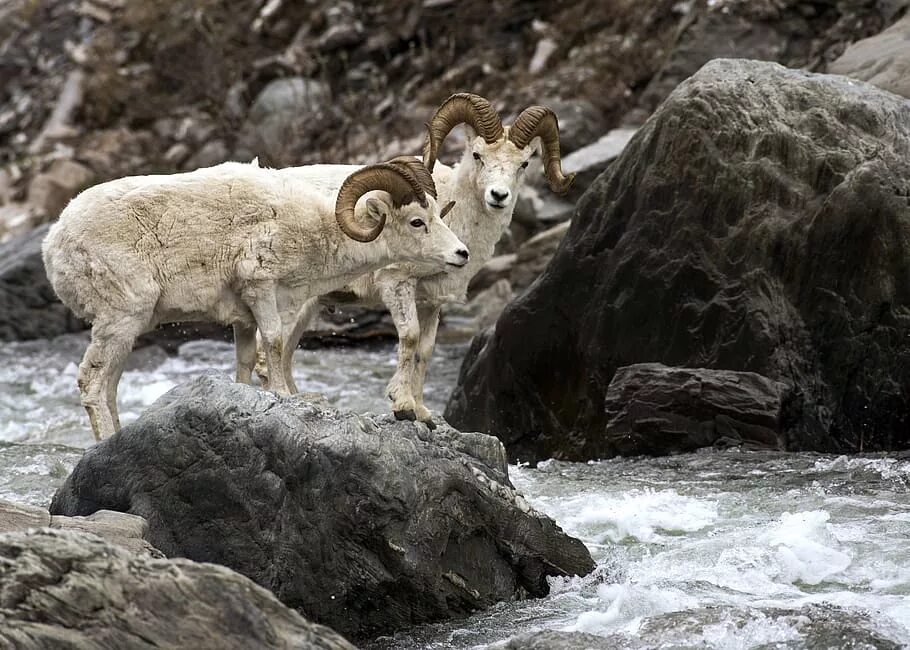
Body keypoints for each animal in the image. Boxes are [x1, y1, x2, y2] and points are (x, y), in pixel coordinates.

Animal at [41, 156, 470, 438]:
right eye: (417, 221)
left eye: (438, 214)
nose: (461, 254)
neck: (315, 229)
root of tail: (55, 242)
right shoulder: (261, 288)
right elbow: (276, 343)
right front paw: (280, 396)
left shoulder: (244, 318)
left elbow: (248, 361)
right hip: (120, 320)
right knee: (93, 385)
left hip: (127, 329)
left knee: (110, 387)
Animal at [253, 92, 572, 426]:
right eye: (477, 155)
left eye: (524, 163)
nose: (498, 196)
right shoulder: (397, 284)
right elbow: (409, 337)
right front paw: (402, 405)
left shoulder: (432, 302)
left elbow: (425, 349)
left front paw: (421, 411)